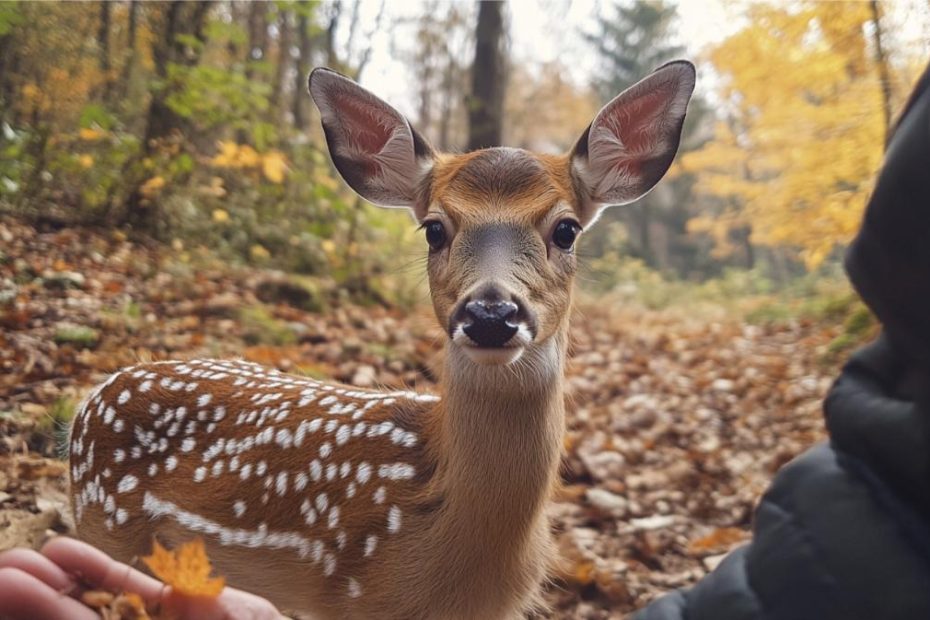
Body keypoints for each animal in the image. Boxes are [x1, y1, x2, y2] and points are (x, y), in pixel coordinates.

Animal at [69, 59, 692, 620]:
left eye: (566, 229)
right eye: (434, 228)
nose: (491, 313)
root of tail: (89, 402)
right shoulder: (355, 599)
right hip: (106, 525)